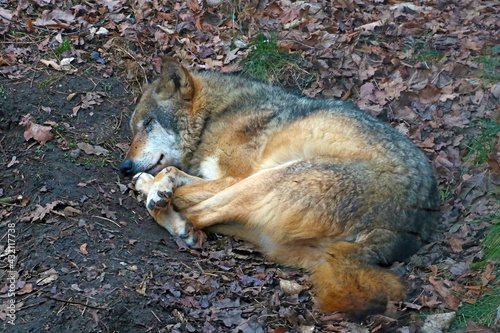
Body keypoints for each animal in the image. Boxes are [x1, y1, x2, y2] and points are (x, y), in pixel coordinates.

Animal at [120, 57, 438, 314]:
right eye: (135, 129)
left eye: (148, 124)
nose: (124, 167)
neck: (214, 116)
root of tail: (408, 225)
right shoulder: (217, 177)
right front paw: (149, 183)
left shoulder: (233, 177)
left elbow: (173, 174)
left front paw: (157, 187)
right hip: (270, 233)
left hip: (267, 179)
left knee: (193, 213)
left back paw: (170, 212)